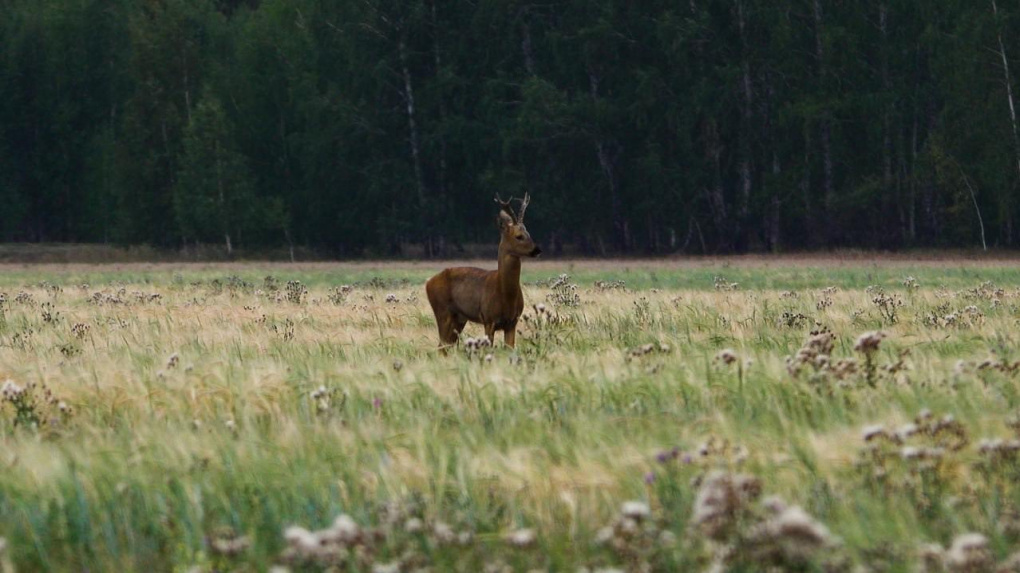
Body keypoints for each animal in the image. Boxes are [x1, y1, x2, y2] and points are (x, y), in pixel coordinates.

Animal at [424, 193, 542, 348]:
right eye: (519, 236)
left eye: (529, 233)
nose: (537, 250)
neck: (505, 294)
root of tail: (428, 283)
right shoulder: (488, 319)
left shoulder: (512, 322)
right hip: (442, 311)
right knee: (442, 345)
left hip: (459, 318)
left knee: (447, 345)